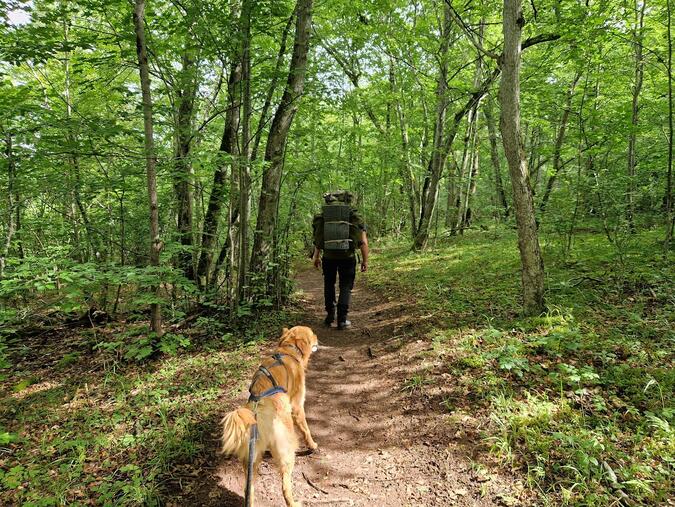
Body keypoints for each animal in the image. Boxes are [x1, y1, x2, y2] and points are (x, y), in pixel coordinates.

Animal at [219, 328, 320, 506]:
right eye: (312, 334)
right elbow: (306, 430)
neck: (288, 350)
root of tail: (259, 408)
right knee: (285, 488)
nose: (318, 338)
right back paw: (294, 502)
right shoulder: (297, 406)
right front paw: (312, 445)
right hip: (287, 454)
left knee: (248, 491)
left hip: (250, 461)